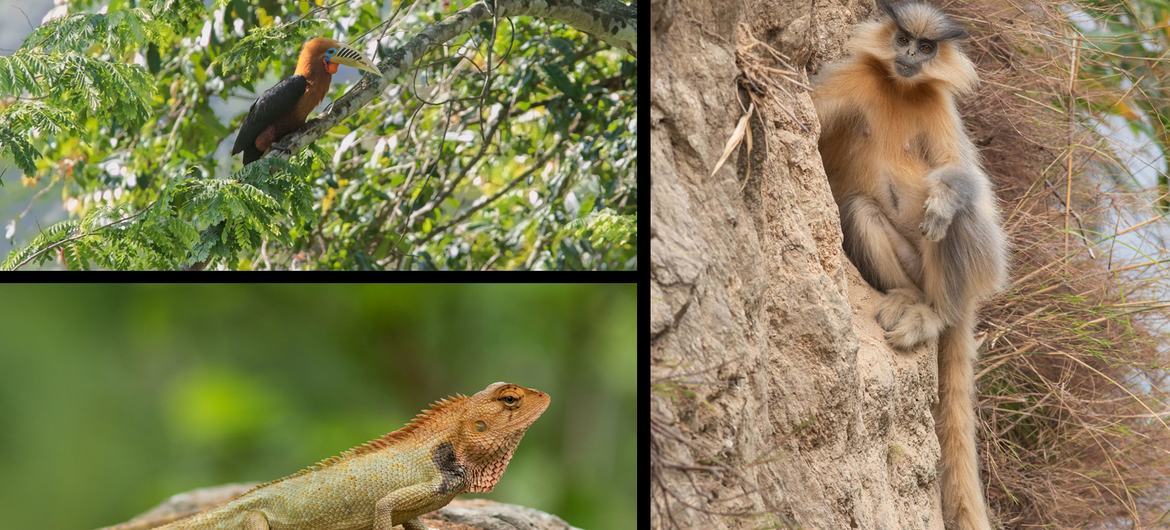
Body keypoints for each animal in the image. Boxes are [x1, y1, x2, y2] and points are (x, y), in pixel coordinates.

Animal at [811, 2, 1007, 529]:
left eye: (926, 46)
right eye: (903, 40)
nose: (911, 58)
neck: (899, 88)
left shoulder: (938, 104)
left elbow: (965, 178)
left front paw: (944, 198)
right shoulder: (851, 78)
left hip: (965, 269)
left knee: (960, 219)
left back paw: (932, 312)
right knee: (861, 208)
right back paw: (905, 299)